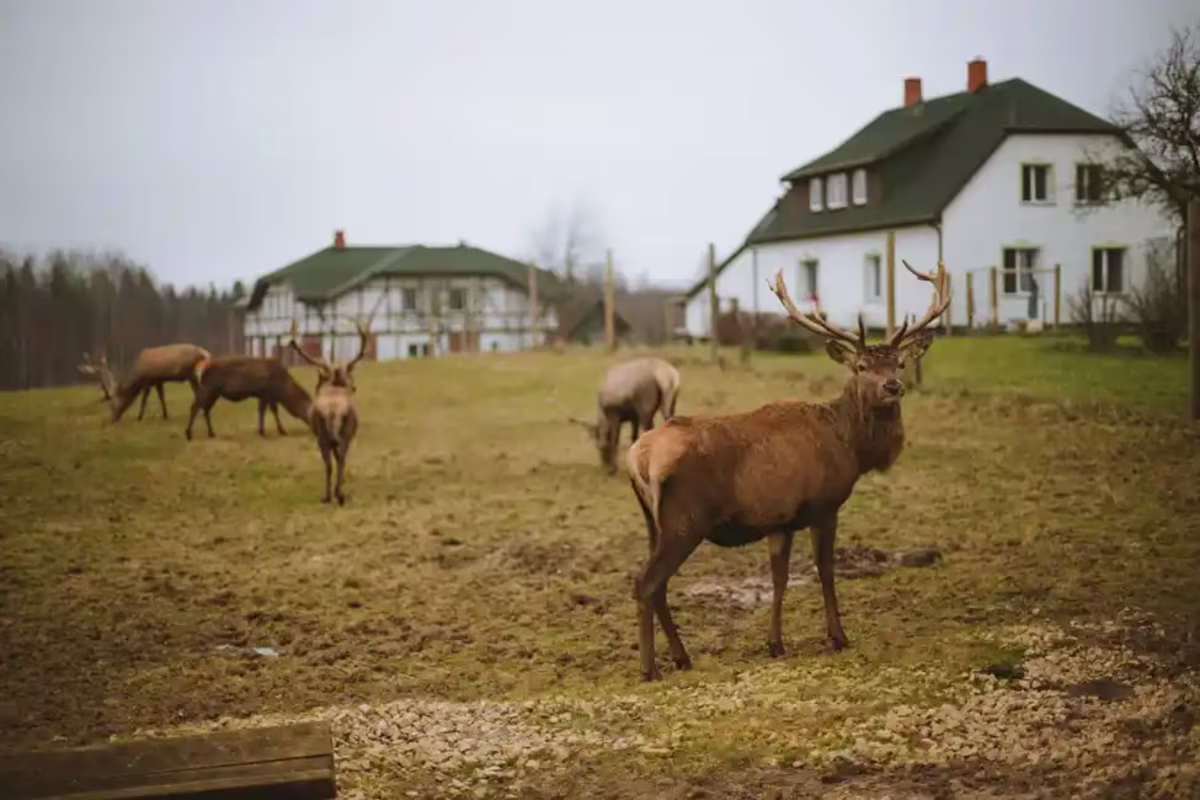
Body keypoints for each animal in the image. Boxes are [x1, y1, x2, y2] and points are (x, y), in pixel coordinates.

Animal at [77, 344, 211, 422]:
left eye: (112, 405)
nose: (113, 419)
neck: (138, 375)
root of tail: (206, 353)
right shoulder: (158, 380)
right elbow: (161, 397)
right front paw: (165, 415)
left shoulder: (148, 380)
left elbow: (144, 399)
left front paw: (139, 417)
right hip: (193, 376)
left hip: (193, 374)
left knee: (199, 391)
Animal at [284, 316, 370, 505]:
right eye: (349, 377)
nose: (354, 387)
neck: (335, 386)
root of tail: (332, 411)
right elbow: (339, 459)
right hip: (342, 433)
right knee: (339, 460)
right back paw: (338, 495)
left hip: (323, 434)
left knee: (330, 463)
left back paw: (329, 495)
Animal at [624, 259, 950, 682]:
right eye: (861, 366)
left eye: (900, 362)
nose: (893, 387)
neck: (851, 445)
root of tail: (638, 456)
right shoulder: (824, 505)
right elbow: (824, 570)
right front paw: (838, 636)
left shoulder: (779, 520)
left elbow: (779, 579)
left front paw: (776, 644)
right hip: (685, 519)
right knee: (646, 582)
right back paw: (650, 668)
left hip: (654, 522)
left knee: (657, 583)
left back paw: (682, 657)